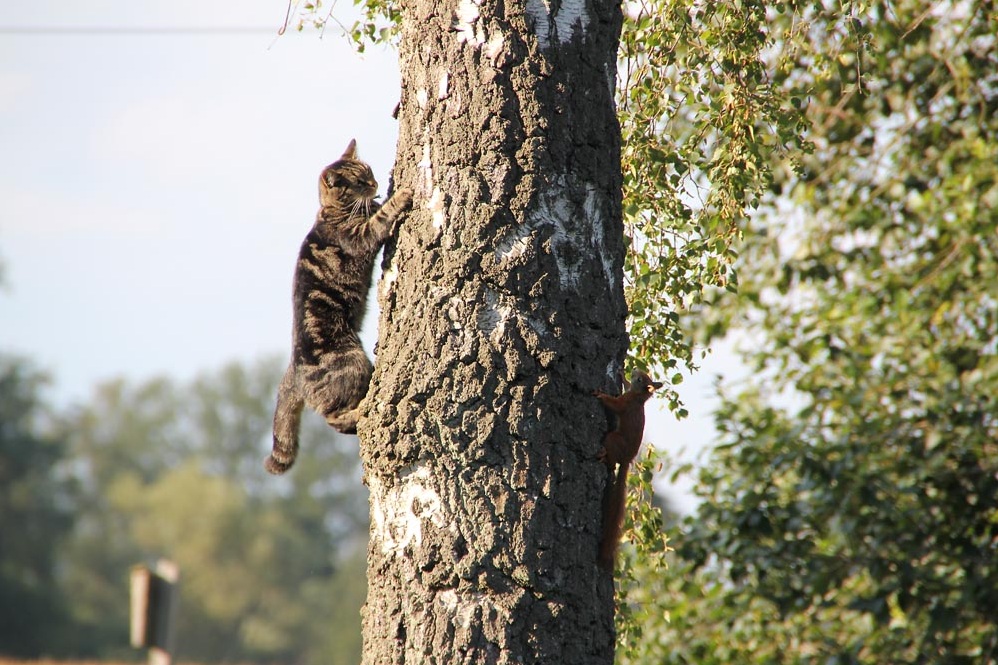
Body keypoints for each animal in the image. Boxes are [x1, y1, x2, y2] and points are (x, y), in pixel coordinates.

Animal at [266, 139, 414, 472]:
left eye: (368, 173)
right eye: (359, 182)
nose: (374, 184)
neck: (334, 212)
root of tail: (293, 372)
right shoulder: (362, 236)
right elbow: (381, 217)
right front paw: (399, 195)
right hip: (353, 363)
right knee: (334, 419)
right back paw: (362, 412)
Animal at [592, 368, 664, 572]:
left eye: (640, 379)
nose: (634, 370)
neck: (639, 398)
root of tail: (626, 459)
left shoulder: (624, 403)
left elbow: (614, 404)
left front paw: (600, 395)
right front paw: (622, 375)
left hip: (613, 439)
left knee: (611, 460)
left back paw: (604, 457)